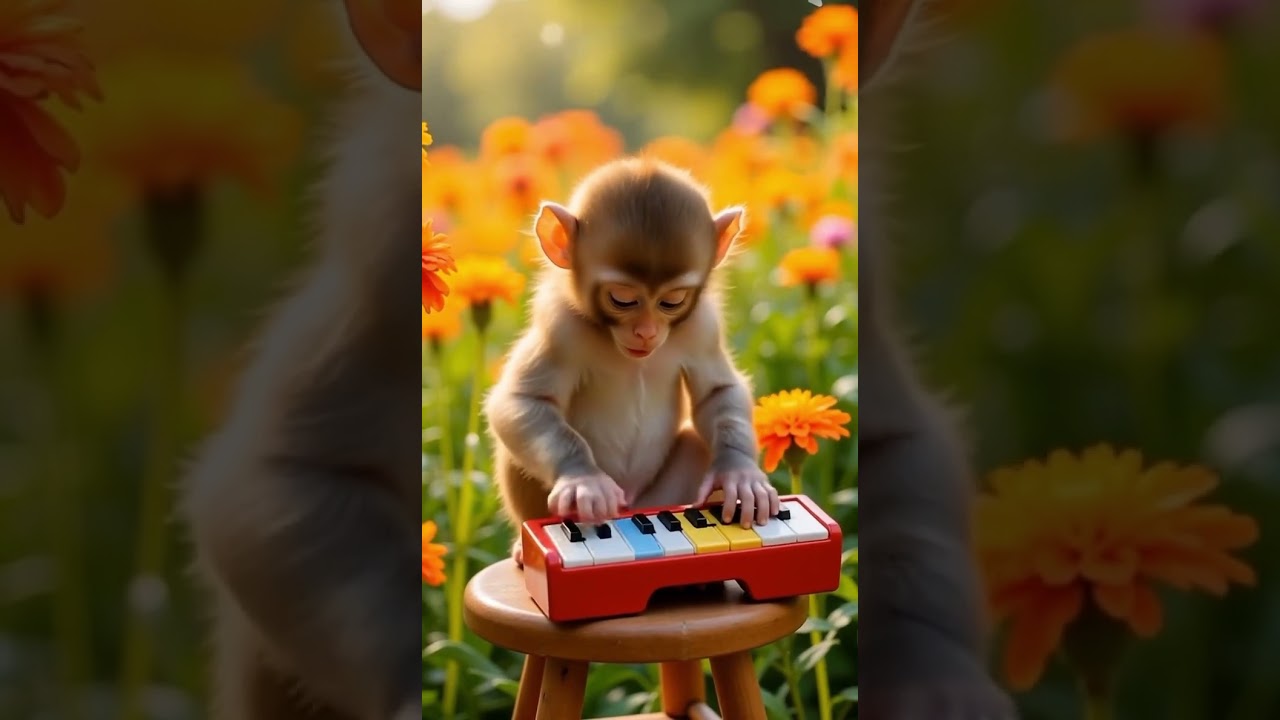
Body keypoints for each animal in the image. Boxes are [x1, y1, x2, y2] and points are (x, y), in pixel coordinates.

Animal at [483, 157, 781, 566]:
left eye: (672, 301)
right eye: (622, 299)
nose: (646, 332)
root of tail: (633, 507)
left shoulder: (702, 325)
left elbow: (718, 392)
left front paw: (739, 473)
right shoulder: (560, 325)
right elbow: (522, 400)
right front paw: (583, 479)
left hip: (662, 498)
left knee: (697, 445)